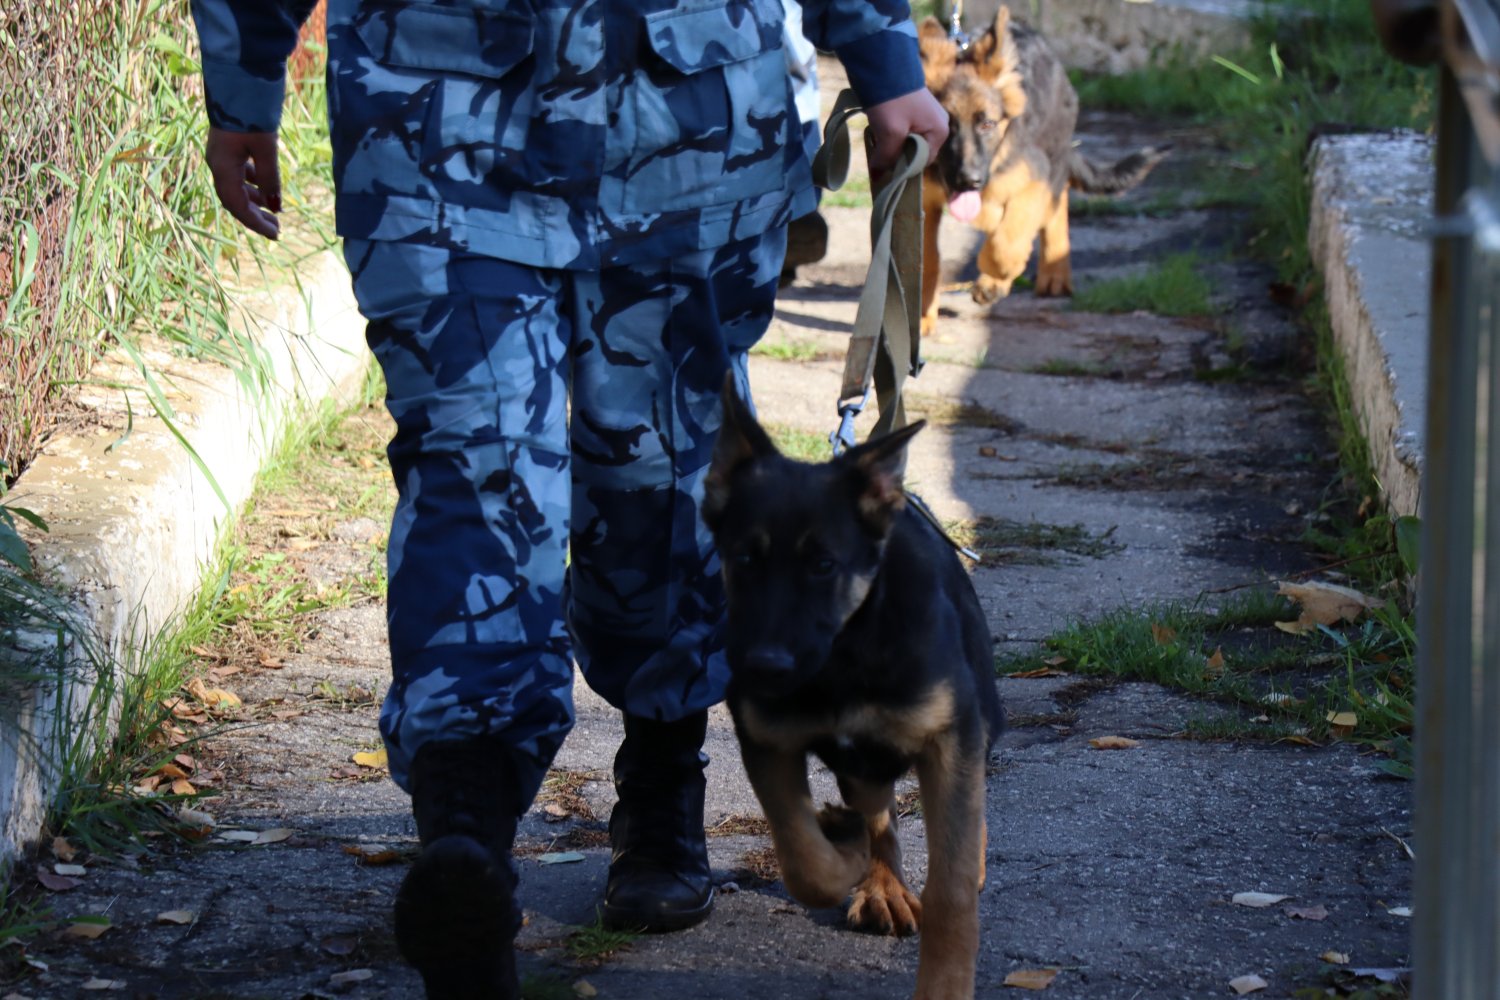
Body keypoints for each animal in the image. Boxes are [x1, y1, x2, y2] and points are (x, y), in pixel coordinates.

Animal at [705, 386, 1008, 1000]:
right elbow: (805, 862)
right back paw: (878, 881)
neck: (845, 654)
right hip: (860, 769)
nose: (763, 668)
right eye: (744, 559)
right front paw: (843, 854)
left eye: (824, 565)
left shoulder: (949, 740)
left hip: (975, 723)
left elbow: (951, 887)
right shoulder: (768, 741)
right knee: (878, 814)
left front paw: (944, 986)